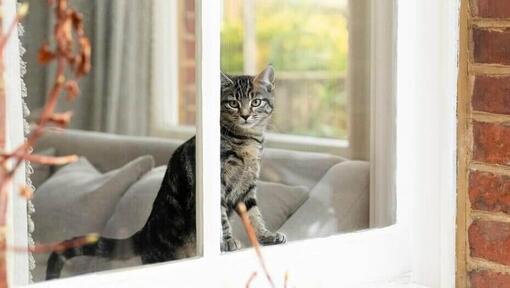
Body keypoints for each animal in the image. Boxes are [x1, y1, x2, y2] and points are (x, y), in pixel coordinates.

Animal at [45, 66, 284, 280]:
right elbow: (222, 218)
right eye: (233, 103)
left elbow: (255, 216)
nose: (245, 115)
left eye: (255, 102)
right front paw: (226, 241)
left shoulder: (248, 188)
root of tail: (144, 232)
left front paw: (266, 236)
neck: (246, 142)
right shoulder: (218, 186)